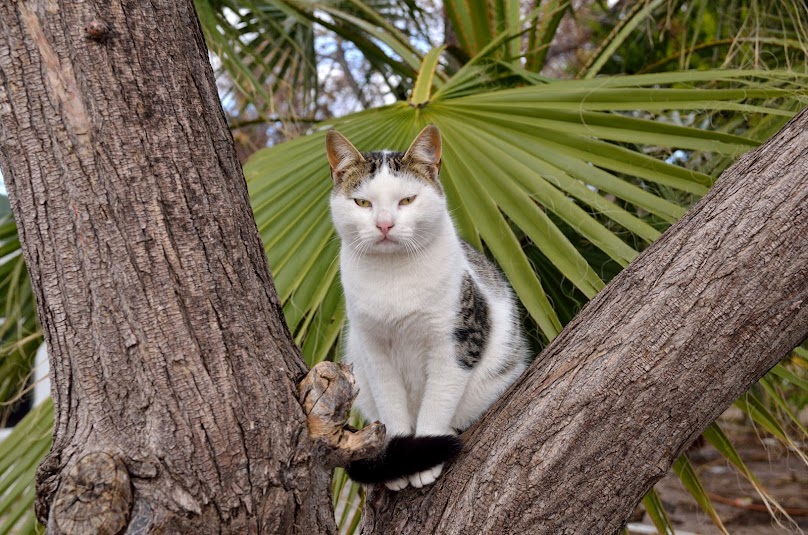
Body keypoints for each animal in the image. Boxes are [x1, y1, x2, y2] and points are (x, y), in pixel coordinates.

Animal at [326, 124, 528, 490]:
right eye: (362, 202)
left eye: (407, 200)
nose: (385, 224)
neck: (393, 276)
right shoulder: (373, 348)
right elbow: (391, 404)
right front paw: (398, 458)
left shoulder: (457, 339)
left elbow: (438, 399)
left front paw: (425, 454)